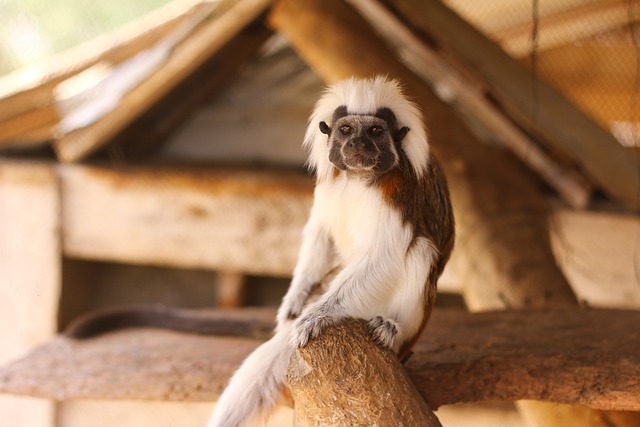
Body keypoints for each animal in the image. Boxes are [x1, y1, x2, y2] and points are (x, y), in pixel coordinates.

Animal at [208, 77, 452, 427]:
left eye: (375, 131)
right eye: (346, 130)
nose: (358, 145)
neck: (358, 178)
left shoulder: (399, 192)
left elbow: (385, 256)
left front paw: (318, 315)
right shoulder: (327, 186)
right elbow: (320, 232)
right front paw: (294, 300)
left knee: (420, 250)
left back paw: (391, 331)